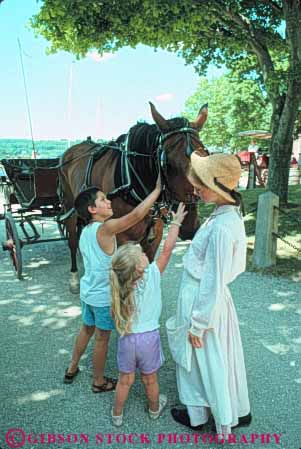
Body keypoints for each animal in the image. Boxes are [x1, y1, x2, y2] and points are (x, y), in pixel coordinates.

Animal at [59, 102, 207, 292]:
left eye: (206, 157)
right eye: (166, 164)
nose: (189, 227)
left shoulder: (153, 239)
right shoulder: (119, 238)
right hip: (69, 206)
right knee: (72, 240)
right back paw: (74, 277)